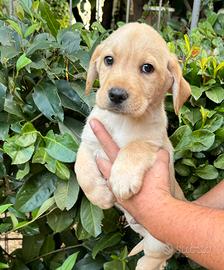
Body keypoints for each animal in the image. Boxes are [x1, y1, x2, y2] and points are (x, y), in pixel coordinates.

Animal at [75, 23, 191, 270]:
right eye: (109, 60)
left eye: (147, 68)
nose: (116, 94)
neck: (122, 121)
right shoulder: (89, 140)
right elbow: (81, 169)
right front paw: (99, 195)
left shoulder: (154, 143)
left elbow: (134, 148)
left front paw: (122, 179)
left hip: (159, 240)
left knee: (157, 257)